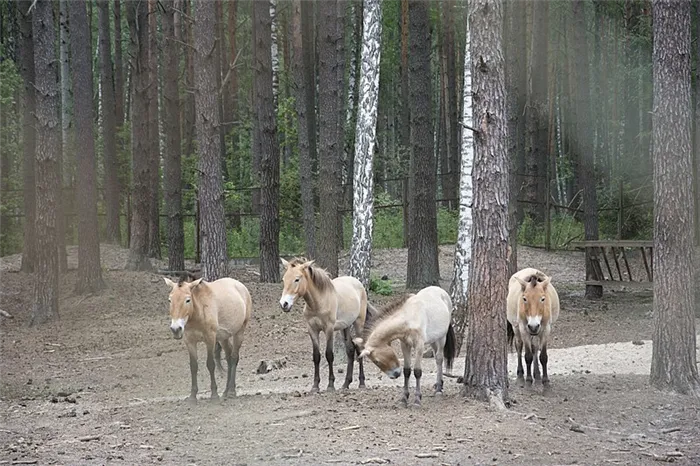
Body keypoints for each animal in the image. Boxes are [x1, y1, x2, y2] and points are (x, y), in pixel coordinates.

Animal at [280, 258, 374, 394]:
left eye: (297, 279)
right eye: (284, 279)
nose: (284, 304)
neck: (318, 302)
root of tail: (357, 282)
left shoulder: (329, 329)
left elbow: (329, 355)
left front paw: (330, 385)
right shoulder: (312, 330)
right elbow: (316, 356)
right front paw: (315, 386)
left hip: (358, 323)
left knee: (359, 349)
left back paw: (361, 383)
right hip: (345, 327)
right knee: (350, 351)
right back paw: (346, 384)